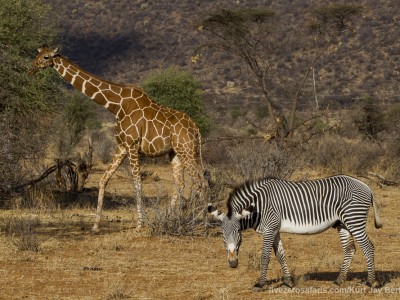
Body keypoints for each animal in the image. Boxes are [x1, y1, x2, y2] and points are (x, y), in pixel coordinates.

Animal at [208, 175, 382, 292]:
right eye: (222, 234)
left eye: (238, 232)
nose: (232, 263)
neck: (259, 207)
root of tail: (366, 186)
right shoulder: (275, 230)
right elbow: (280, 255)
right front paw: (288, 282)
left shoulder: (269, 228)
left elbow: (265, 257)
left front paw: (260, 284)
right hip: (343, 223)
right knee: (350, 249)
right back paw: (339, 280)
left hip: (354, 219)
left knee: (368, 247)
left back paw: (371, 282)